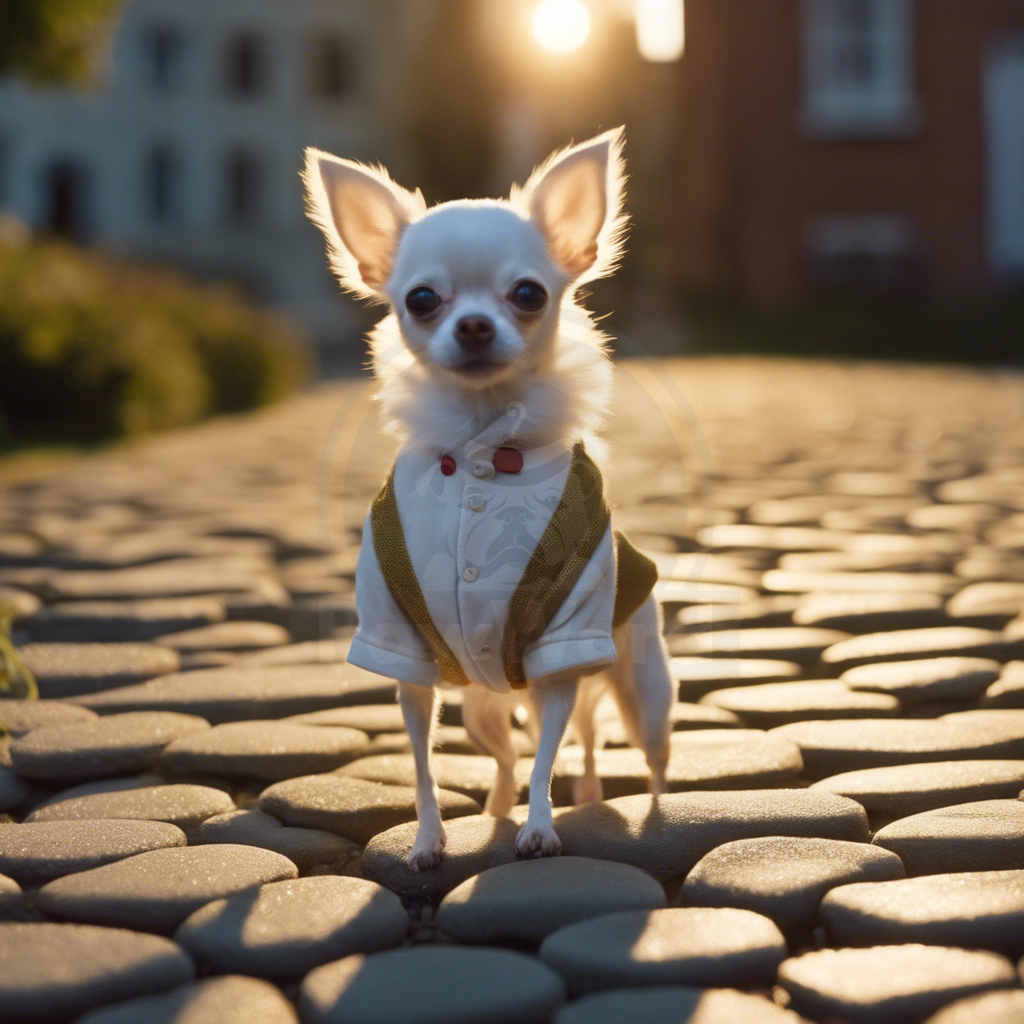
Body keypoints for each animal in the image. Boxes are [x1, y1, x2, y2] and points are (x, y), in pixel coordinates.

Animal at [299, 123, 675, 868]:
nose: (473, 325)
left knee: (632, 753)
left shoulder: (565, 646)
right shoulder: (404, 658)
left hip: (640, 690)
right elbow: (423, 768)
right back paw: (502, 807)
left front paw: (541, 829)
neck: (481, 440)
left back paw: (649, 810)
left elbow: (548, 756)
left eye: (528, 294)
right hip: (479, 711)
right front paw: (428, 840)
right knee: (507, 757)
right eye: (421, 299)